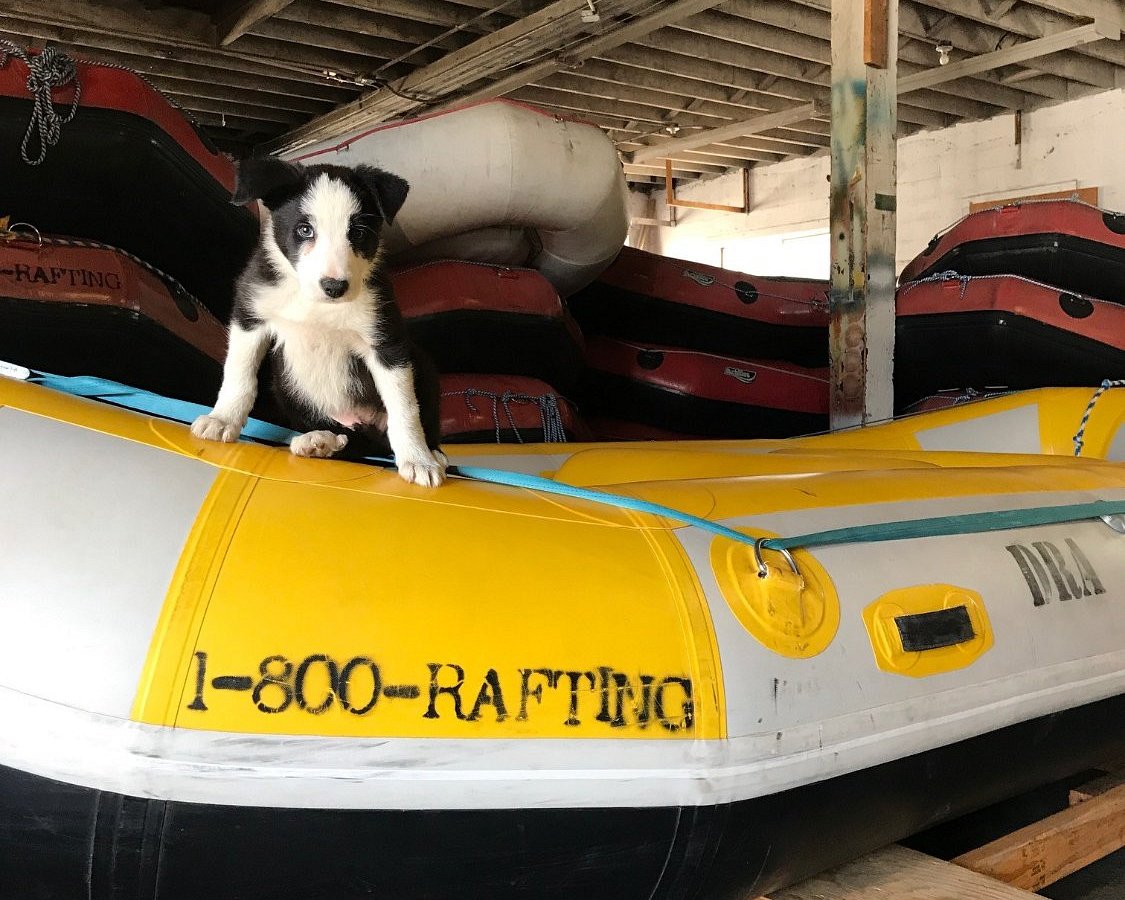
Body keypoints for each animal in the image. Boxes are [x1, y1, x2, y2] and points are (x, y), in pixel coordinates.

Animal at [191, 158, 445, 488]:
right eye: (304, 229)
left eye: (358, 233)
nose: (334, 287)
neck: (317, 305)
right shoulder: (251, 315)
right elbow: (239, 374)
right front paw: (222, 419)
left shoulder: (386, 342)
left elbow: (404, 407)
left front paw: (418, 459)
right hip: (287, 388)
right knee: (350, 442)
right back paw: (320, 441)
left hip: (422, 364)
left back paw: (433, 451)